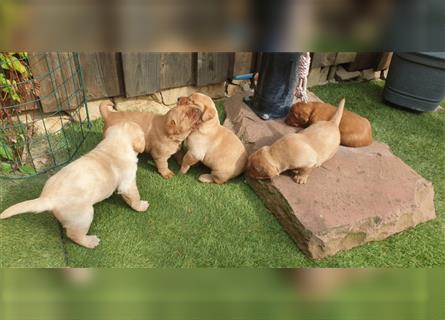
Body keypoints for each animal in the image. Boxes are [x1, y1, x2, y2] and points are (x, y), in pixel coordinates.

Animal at [0, 121, 149, 249]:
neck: (114, 144)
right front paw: (141, 206)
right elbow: (134, 197)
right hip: (83, 216)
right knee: (73, 234)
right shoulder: (127, 183)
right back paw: (90, 241)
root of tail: (47, 198)